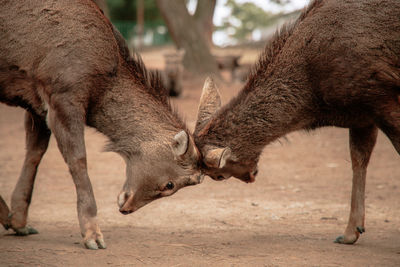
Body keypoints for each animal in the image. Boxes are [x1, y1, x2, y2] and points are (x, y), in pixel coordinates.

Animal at [0, 0, 202, 251]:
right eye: (170, 184)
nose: (126, 208)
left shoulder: (36, 103)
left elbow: (34, 153)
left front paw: (19, 222)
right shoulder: (62, 94)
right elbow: (78, 159)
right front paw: (93, 235)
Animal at [193, 0, 396, 247]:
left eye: (218, 176)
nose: (252, 176)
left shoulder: (382, 97)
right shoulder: (361, 116)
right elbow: (359, 160)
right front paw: (350, 232)